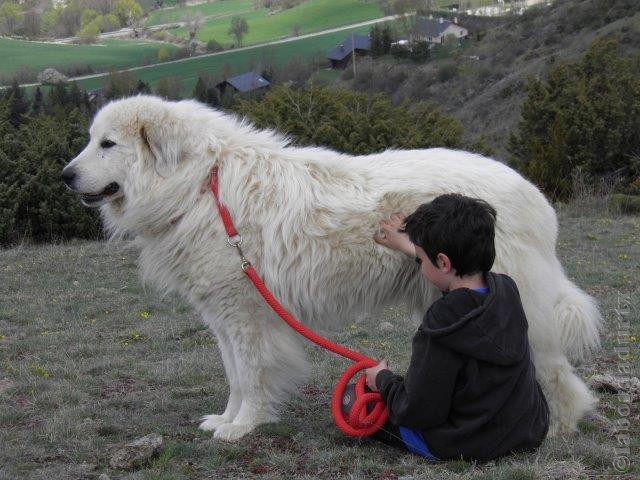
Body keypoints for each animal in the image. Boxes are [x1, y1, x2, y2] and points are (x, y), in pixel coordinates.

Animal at [61, 95, 600, 440]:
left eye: (107, 144)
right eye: (91, 140)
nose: (65, 176)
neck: (201, 185)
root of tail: (532, 192)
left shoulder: (246, 314)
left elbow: (251, 375)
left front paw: (243, 426)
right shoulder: (225, 316)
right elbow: (234, 375)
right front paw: (228, 420)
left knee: (552, 369)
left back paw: (559, 427)